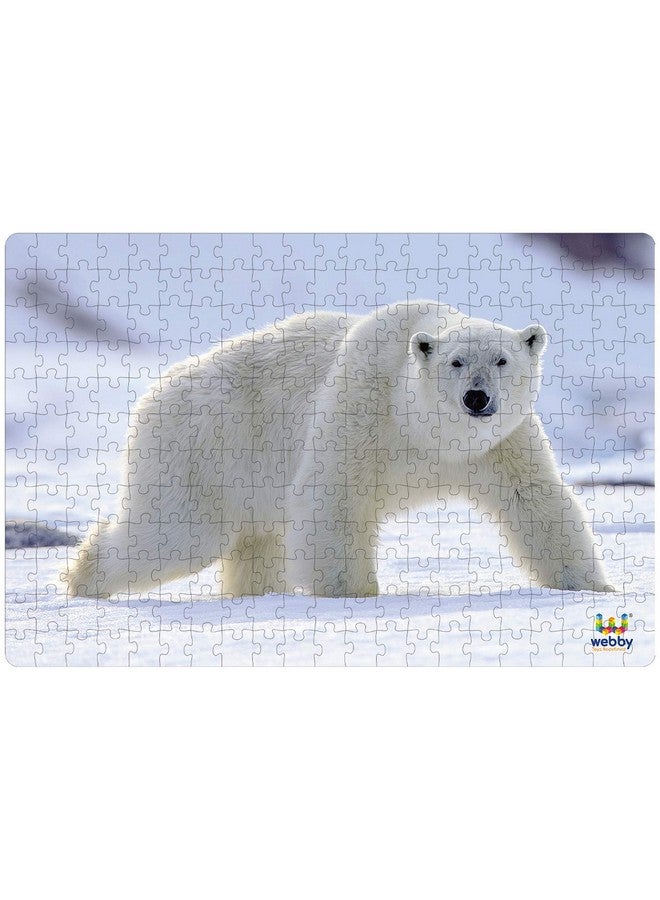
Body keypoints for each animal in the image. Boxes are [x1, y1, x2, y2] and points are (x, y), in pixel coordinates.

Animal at [66, 300, 613, 598]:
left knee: (254, 541)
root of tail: (155, 392)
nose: (477, 398)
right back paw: (83, 579)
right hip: (202, 448)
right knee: (175, 534)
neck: (428, 435)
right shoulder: (361, 409)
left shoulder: (500, 444)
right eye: (456, 362)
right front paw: (351, 591)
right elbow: (334, 498)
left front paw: (592, 585)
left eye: (502, 359)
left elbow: (535, 501)